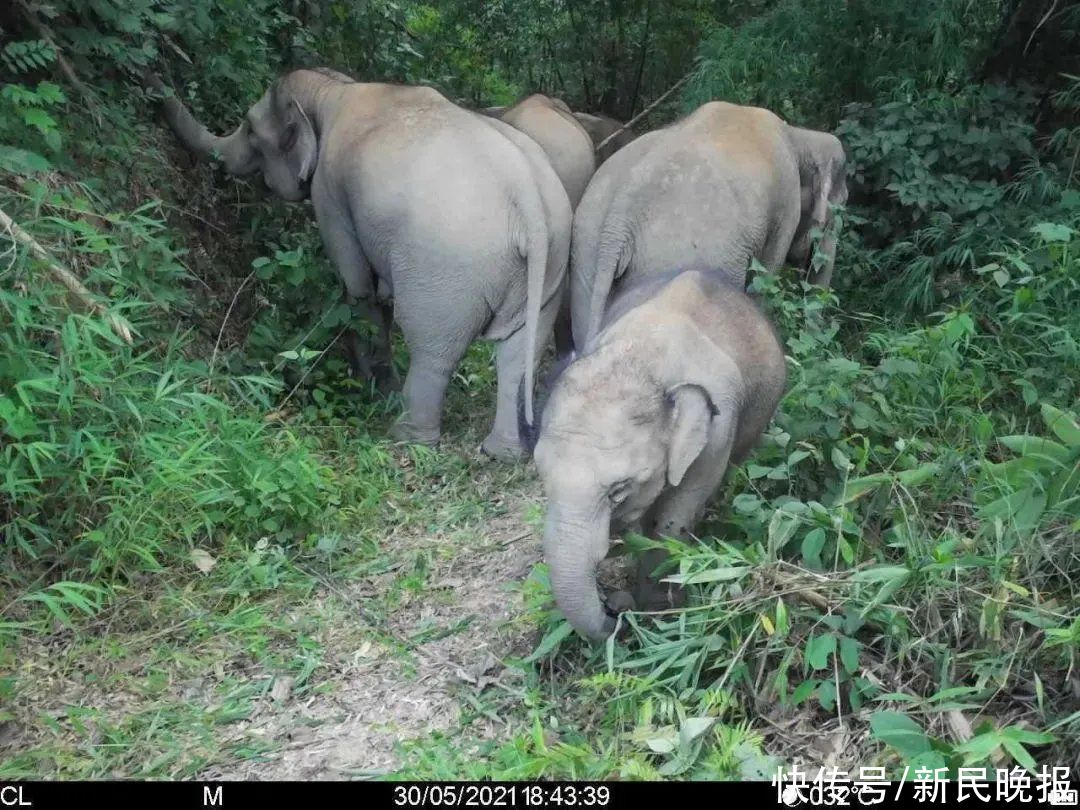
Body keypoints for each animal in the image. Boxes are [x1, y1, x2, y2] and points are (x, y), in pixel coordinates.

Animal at [150, 68, 583, 462]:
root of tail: (528, 200)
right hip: (549, 266)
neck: (331, 88)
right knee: (517, 353)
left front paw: (371, 388)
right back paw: (502, 453)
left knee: (433, 346)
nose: (157, 90)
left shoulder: (329, 192)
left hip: (447, 271)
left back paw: (406, 438)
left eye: (251, 129)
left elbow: (358, 288)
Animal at [516, 270, 786, 643]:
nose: (614, 611)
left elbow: (672, 521)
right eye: (543, 480)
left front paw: (661, 611)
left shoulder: (717, 432)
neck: (642, 359)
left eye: (619, 489)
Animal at [570, 99, 846, 349]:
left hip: (587, 251)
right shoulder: (786, 207)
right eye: (840, 208)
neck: (798, 135)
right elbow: (766, 276)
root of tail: (621, 212)